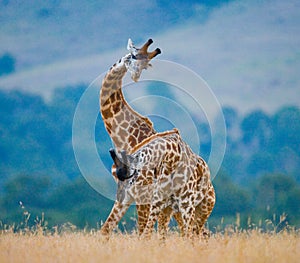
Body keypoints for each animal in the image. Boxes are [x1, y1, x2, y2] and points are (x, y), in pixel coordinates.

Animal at [99, 38, 183, 236]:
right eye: (135, 56)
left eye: (146, 65)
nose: (135, 76)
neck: (122, 137)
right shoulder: (124, 193)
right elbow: (104, 231)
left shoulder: (143, 193)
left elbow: (142, 233)